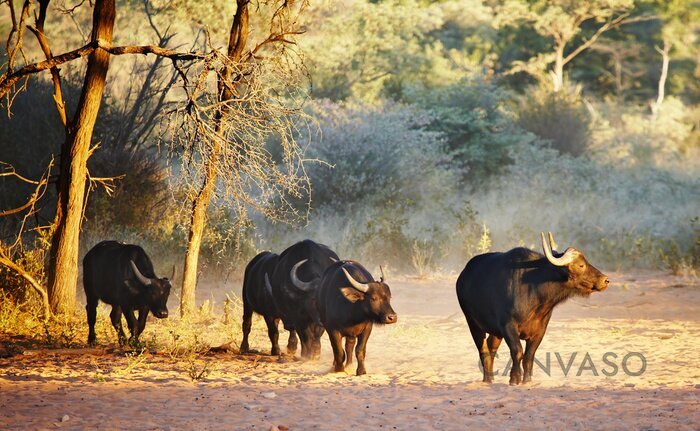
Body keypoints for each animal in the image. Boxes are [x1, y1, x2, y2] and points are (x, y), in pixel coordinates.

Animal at [456, 233, 608, 384]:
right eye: (581, 265)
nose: (605, 280)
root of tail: (463, 276)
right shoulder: (508, 326)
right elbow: (517, 351)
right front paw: (514, 378)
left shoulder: (540, 330)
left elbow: (529, 356)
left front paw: (527, 380)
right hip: (473, 324)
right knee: (484, 350)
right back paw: (487, 379)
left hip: (495, 332)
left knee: (491, 348)